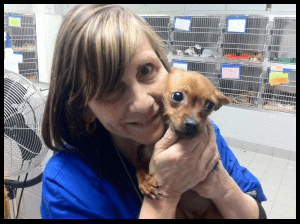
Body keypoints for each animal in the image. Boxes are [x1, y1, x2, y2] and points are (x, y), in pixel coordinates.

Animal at [137, 67, 230, 218]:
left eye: (210, 105)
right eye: (177, 96)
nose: (192, 125)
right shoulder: (144, 157)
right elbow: (138, 168)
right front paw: (145, 182)